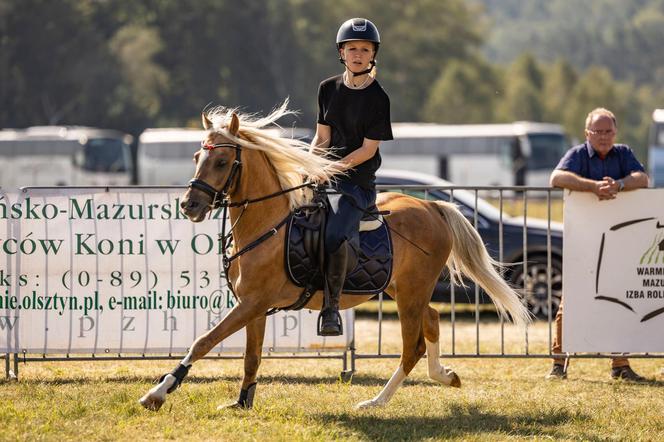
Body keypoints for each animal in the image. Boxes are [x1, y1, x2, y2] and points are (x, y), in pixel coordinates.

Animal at [139, 103, 528, 410]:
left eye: (221, 161)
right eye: (196, 158)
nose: (190, 205)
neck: (268, 224)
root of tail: (432, 206)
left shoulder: (252, 302)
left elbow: (203, 342)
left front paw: (158, 393)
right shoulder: (254, 307)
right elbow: (251, 357)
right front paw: (242, 402)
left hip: (412, 291)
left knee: (411, 347)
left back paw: (376, 402)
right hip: (399, 288)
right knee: (431, 320)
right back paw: (444, 375)